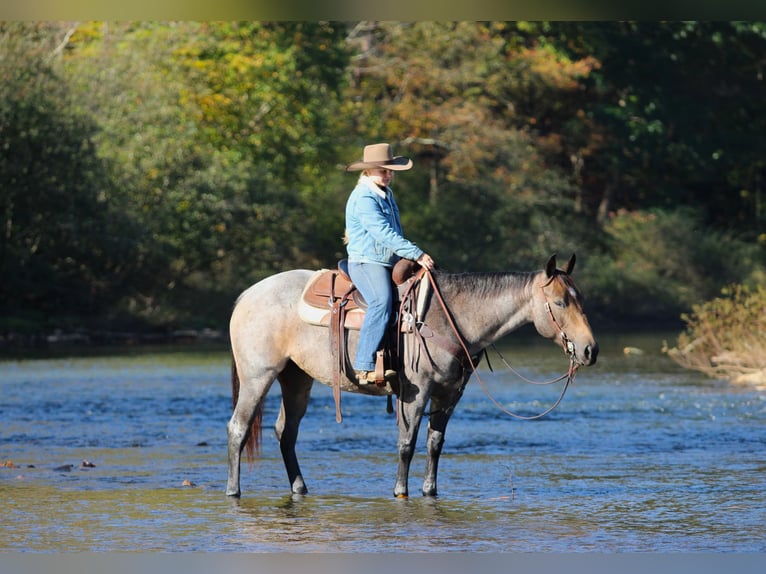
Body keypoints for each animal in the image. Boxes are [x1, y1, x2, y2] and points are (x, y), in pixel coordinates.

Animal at [226, 253, 598, 498]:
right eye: (560, 302)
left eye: (580, 298)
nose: (590, 350)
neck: (450, 317)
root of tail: (247, 295)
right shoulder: (415, 392)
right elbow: (407, 443)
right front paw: (400, 491)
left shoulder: (450, 394)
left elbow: (435, 443)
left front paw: (430, 490)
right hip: (258, 377)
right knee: (239, 428)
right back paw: (233, 490)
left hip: (296, 379)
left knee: (285, 432)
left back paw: (300, 488)